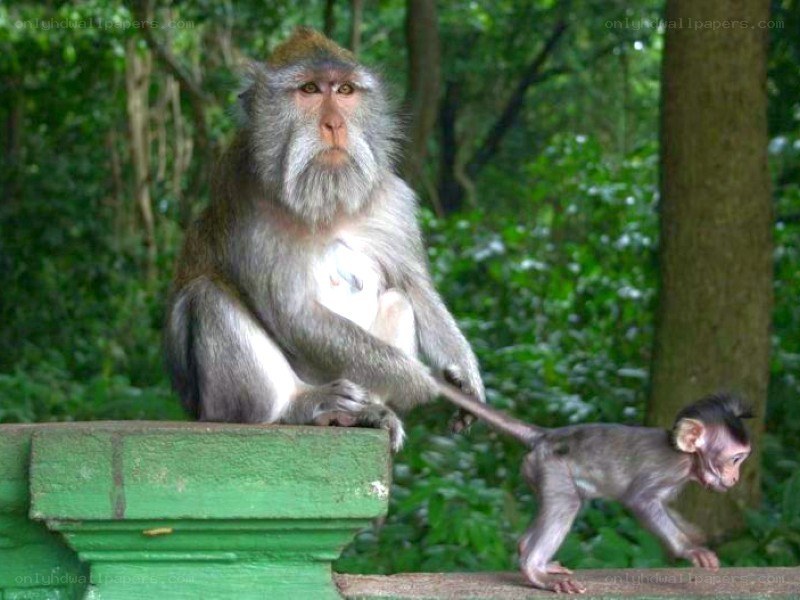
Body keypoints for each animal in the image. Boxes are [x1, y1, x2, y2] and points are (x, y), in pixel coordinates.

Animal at [163, 27, 484, 452]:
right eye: (310, 89)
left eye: (345, 90)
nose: (334, 125)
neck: (328, 203)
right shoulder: (247, 201)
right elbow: (294, 313)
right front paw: (420, 381)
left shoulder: (392, 200)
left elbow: (414, 288)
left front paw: (464, 373)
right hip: (220, 404)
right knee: (207, 296)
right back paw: (299, 408)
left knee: (398, 301)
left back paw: (366, 413)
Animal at [437, 383, 753, 594]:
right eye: (735, 459)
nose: (736, 478)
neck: (686, 458)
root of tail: (546, 436)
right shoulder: (669, 470)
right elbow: (641, 500)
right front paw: (690, 549)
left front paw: (693, 532)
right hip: (551, 466)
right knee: (567, 503)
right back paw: (534, 569)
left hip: (535, 469)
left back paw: (531, 554)